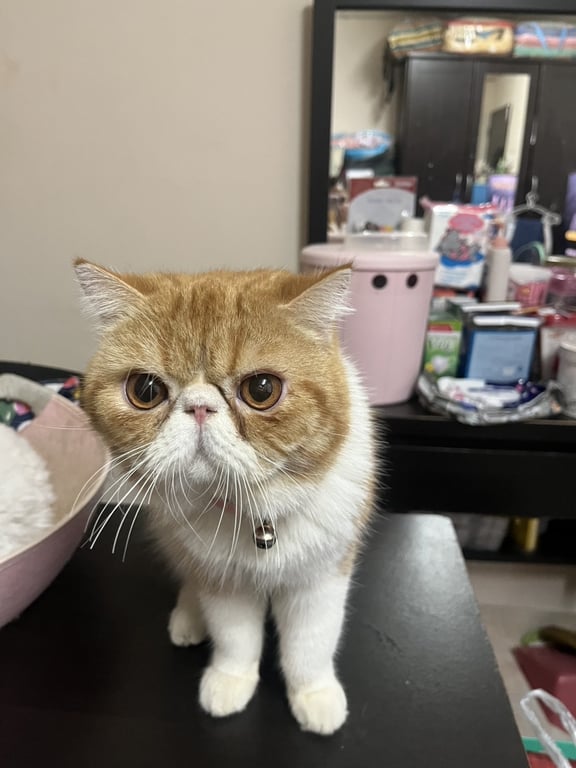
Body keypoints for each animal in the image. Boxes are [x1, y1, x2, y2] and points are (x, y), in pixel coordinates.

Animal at [75, 259, 376, 735]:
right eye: (145, 390)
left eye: (262, 389)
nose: (199, 406)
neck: (256, 517)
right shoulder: (222, 582)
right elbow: (236, 640)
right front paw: (230, 682)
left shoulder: (320, 578)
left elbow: (310, 644)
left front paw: (314, 696)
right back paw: (189, 617)